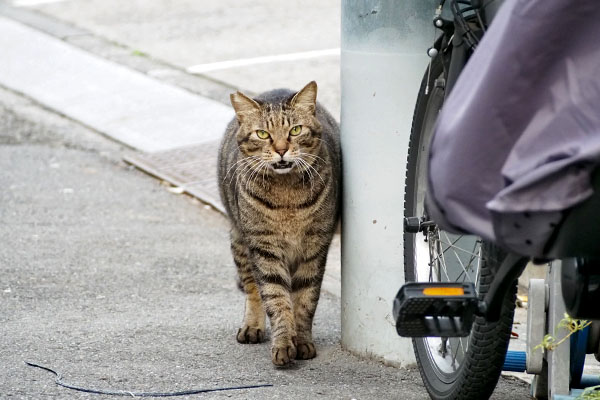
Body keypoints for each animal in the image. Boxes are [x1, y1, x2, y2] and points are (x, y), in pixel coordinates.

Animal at [217, 80, 340, 366]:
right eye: (263, 134)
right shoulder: (264, 248)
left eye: (295, 130)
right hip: (240, 241)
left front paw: (302, 341)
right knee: (252, 287)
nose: (281, 149)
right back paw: (252, 325)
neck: (287, 200)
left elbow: (305, 299)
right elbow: (276, 298)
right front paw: (284, 343)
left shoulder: (315, 247)